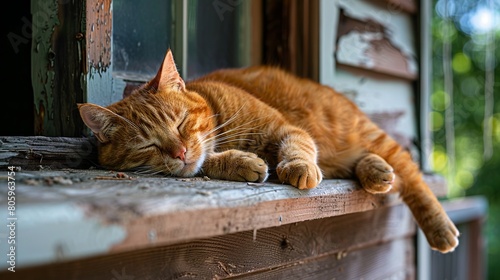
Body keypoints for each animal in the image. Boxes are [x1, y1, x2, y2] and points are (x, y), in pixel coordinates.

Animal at [78, 50, 458, 254]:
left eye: (182, 123)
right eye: (150, 145)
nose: (180, 151)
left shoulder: (285, 129)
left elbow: (297, 147)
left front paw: (297, 167)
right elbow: (207, 162)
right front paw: (240, 163)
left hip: (367, 135)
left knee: (411, 175)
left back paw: (439, 226)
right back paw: (376, 172)